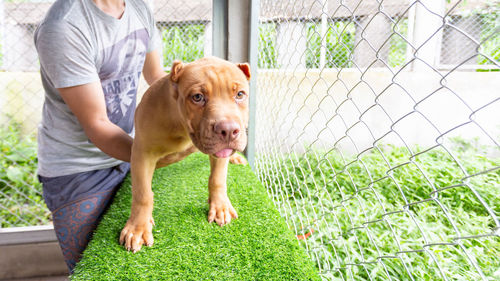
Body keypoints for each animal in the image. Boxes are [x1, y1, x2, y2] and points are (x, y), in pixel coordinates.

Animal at [117, 55, 250, 250]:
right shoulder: (142, 154)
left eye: (240, 94)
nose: (228, 130)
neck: (181, 126)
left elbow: (217, 178)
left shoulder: (218, 153)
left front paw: (220, 206)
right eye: (197, 97)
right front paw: (137, 227)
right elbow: (143, 193)